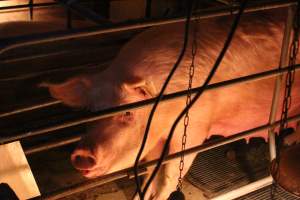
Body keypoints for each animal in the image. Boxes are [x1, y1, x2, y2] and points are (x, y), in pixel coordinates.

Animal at [44, 10, 300, 200]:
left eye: (127, 112)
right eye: (91, 112)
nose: (81, 154)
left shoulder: (195, 127)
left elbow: (169, 173)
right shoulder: (156, 139)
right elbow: (150, 174)